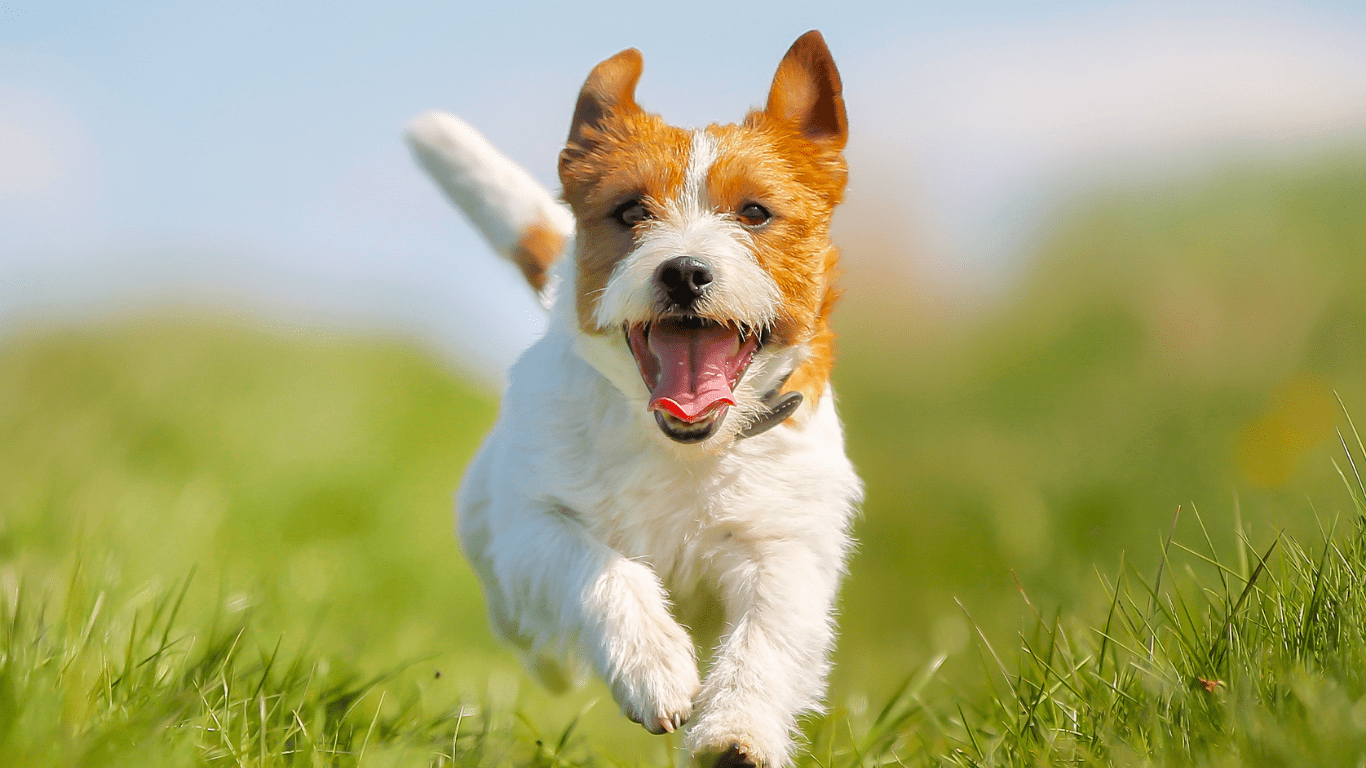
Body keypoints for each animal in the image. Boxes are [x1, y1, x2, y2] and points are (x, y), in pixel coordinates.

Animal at [398, 31, 857, 765]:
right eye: (631, 212)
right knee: (525, 628)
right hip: (493, 542)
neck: (682, 449)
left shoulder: (784, 547)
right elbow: (603, 568)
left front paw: (736, 732)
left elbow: (766, 639)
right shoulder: (536, 524)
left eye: (755, 212)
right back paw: (558, 661)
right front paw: (652, 664)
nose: (684, 271)